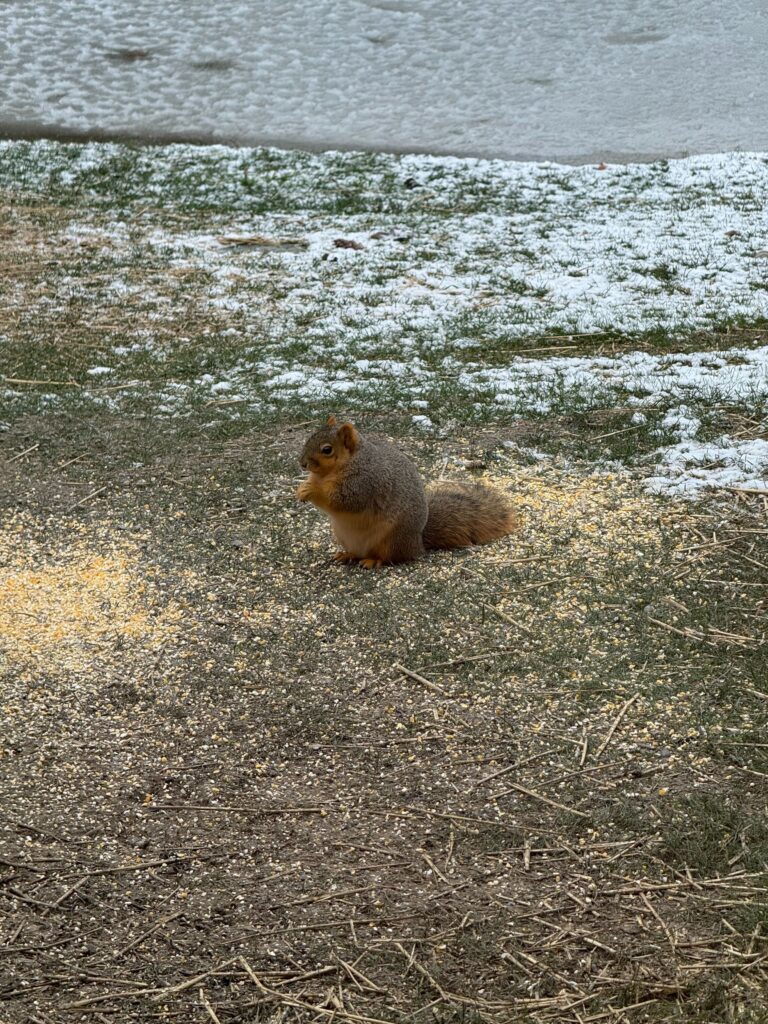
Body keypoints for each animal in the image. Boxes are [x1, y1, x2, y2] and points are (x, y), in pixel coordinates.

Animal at [296, 417, 516, 568]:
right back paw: (347, 555)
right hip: (343, 535)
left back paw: (372, 561)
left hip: (392, 539)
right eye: (310, 437)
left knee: (389, 557)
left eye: (327, 450)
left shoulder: (365, 482)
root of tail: (418, 543)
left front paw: (313, 491)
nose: (302, 463)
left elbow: (344, 500)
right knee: (357, 552)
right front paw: (301, 489)